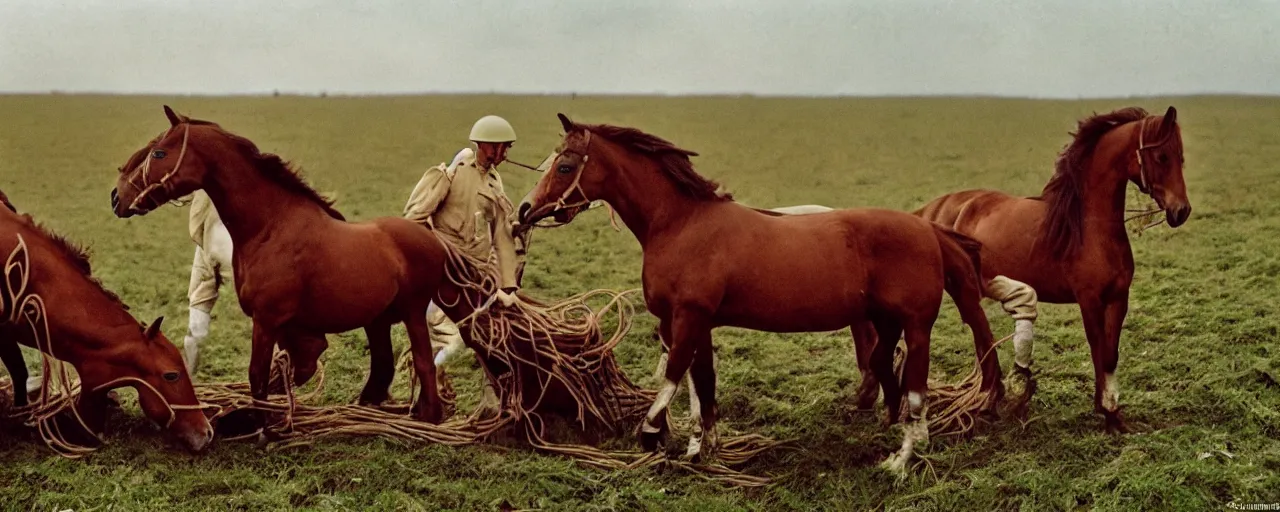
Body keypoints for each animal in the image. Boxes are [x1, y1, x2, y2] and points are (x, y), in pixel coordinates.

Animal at [108, 104, 455, 424]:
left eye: (159, 153)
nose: (116, 197)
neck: (269, 227)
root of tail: (433, 240)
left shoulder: (266, 320)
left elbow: (258, 376)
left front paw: (263, 429)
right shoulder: (289, 327)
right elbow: (296, 364)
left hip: (412, 313)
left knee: (424, 362)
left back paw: (430, 417)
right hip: (377, 320)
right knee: (383, 366)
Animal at [514, 113, 1003, 471]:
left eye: (564, 165)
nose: (525, 209)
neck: (680, 224)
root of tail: (926, 229)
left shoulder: (687, 317)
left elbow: (674, 373)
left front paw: (653, 434)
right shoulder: (696, 322)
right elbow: (702, 381)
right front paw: (702, 447)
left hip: (917, 326)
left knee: (917, 390)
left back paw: (901, 459)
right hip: (885, 323)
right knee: (888, 370)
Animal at [916, 106, 1192, 435]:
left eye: (1181, 156)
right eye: (1162, 156)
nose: (1181, 211)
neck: (1090, 228)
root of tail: (931, 211)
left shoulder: (1118, 298)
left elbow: (1111, 354)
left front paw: (1115, 415)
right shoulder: (1089, 301)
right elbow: (1099, 349)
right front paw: (1106, 411)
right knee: (979, 332)